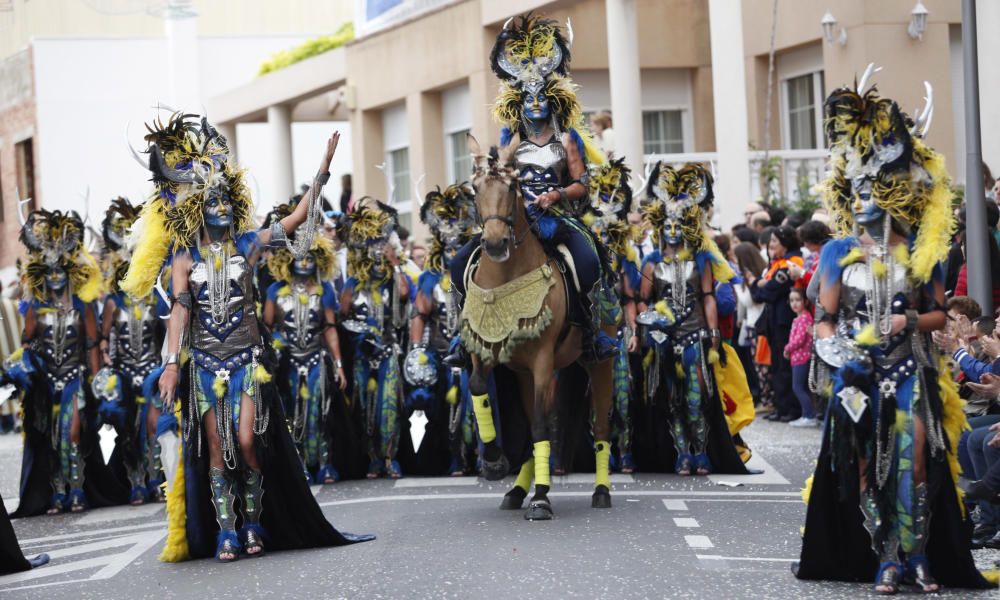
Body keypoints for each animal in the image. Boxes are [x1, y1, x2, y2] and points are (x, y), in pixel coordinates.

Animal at [460, 136, 616, 520]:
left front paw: (542, 498)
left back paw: (601, 491)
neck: (505, 276)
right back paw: (516, 491)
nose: (495, 243)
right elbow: (478, 388)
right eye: (475, 189)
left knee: (601, 429)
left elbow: (545, 425)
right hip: (523, 374)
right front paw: (494, 462)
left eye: (512, 186)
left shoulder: (544, 361)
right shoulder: (485, 350)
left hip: (600, 361)